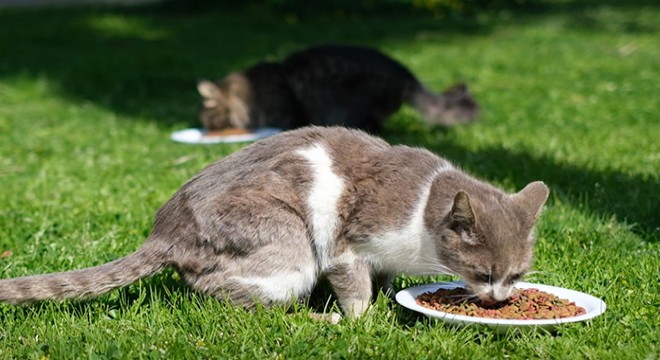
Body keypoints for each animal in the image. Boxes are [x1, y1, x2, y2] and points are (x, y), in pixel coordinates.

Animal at [0, 127, 548, 320]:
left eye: (517, 276)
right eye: (484, 275)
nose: (500, 300)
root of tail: (165, 229)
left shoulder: (385, 258)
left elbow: (385, 280)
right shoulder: (348, 244)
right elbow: (356, 292)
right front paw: (360, 322)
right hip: (288, 246)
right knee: (219, 287)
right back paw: (311, 319)